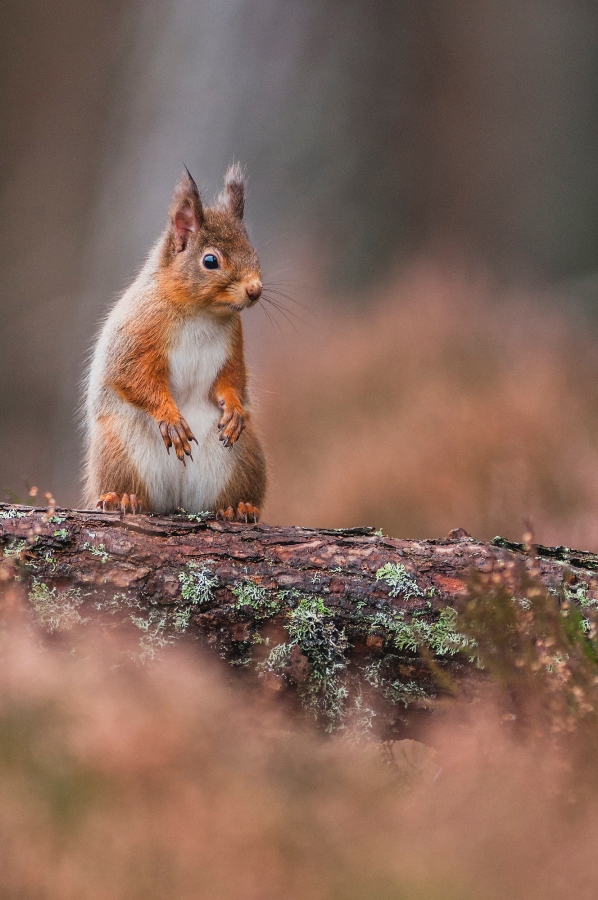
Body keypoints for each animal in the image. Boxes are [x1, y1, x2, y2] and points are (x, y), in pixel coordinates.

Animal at [82, 165, 268, 524]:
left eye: (254, 251)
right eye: (210, 261)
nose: (255, 290)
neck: (201, 313)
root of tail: (178, 501)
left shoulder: (233, 347)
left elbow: (233, 379)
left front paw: (234, 407)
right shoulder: (137, 332)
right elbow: (132, 375)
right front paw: (169, 417)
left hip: (244, 455)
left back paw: (239, 507)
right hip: (117, 448)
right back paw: (122, 498)